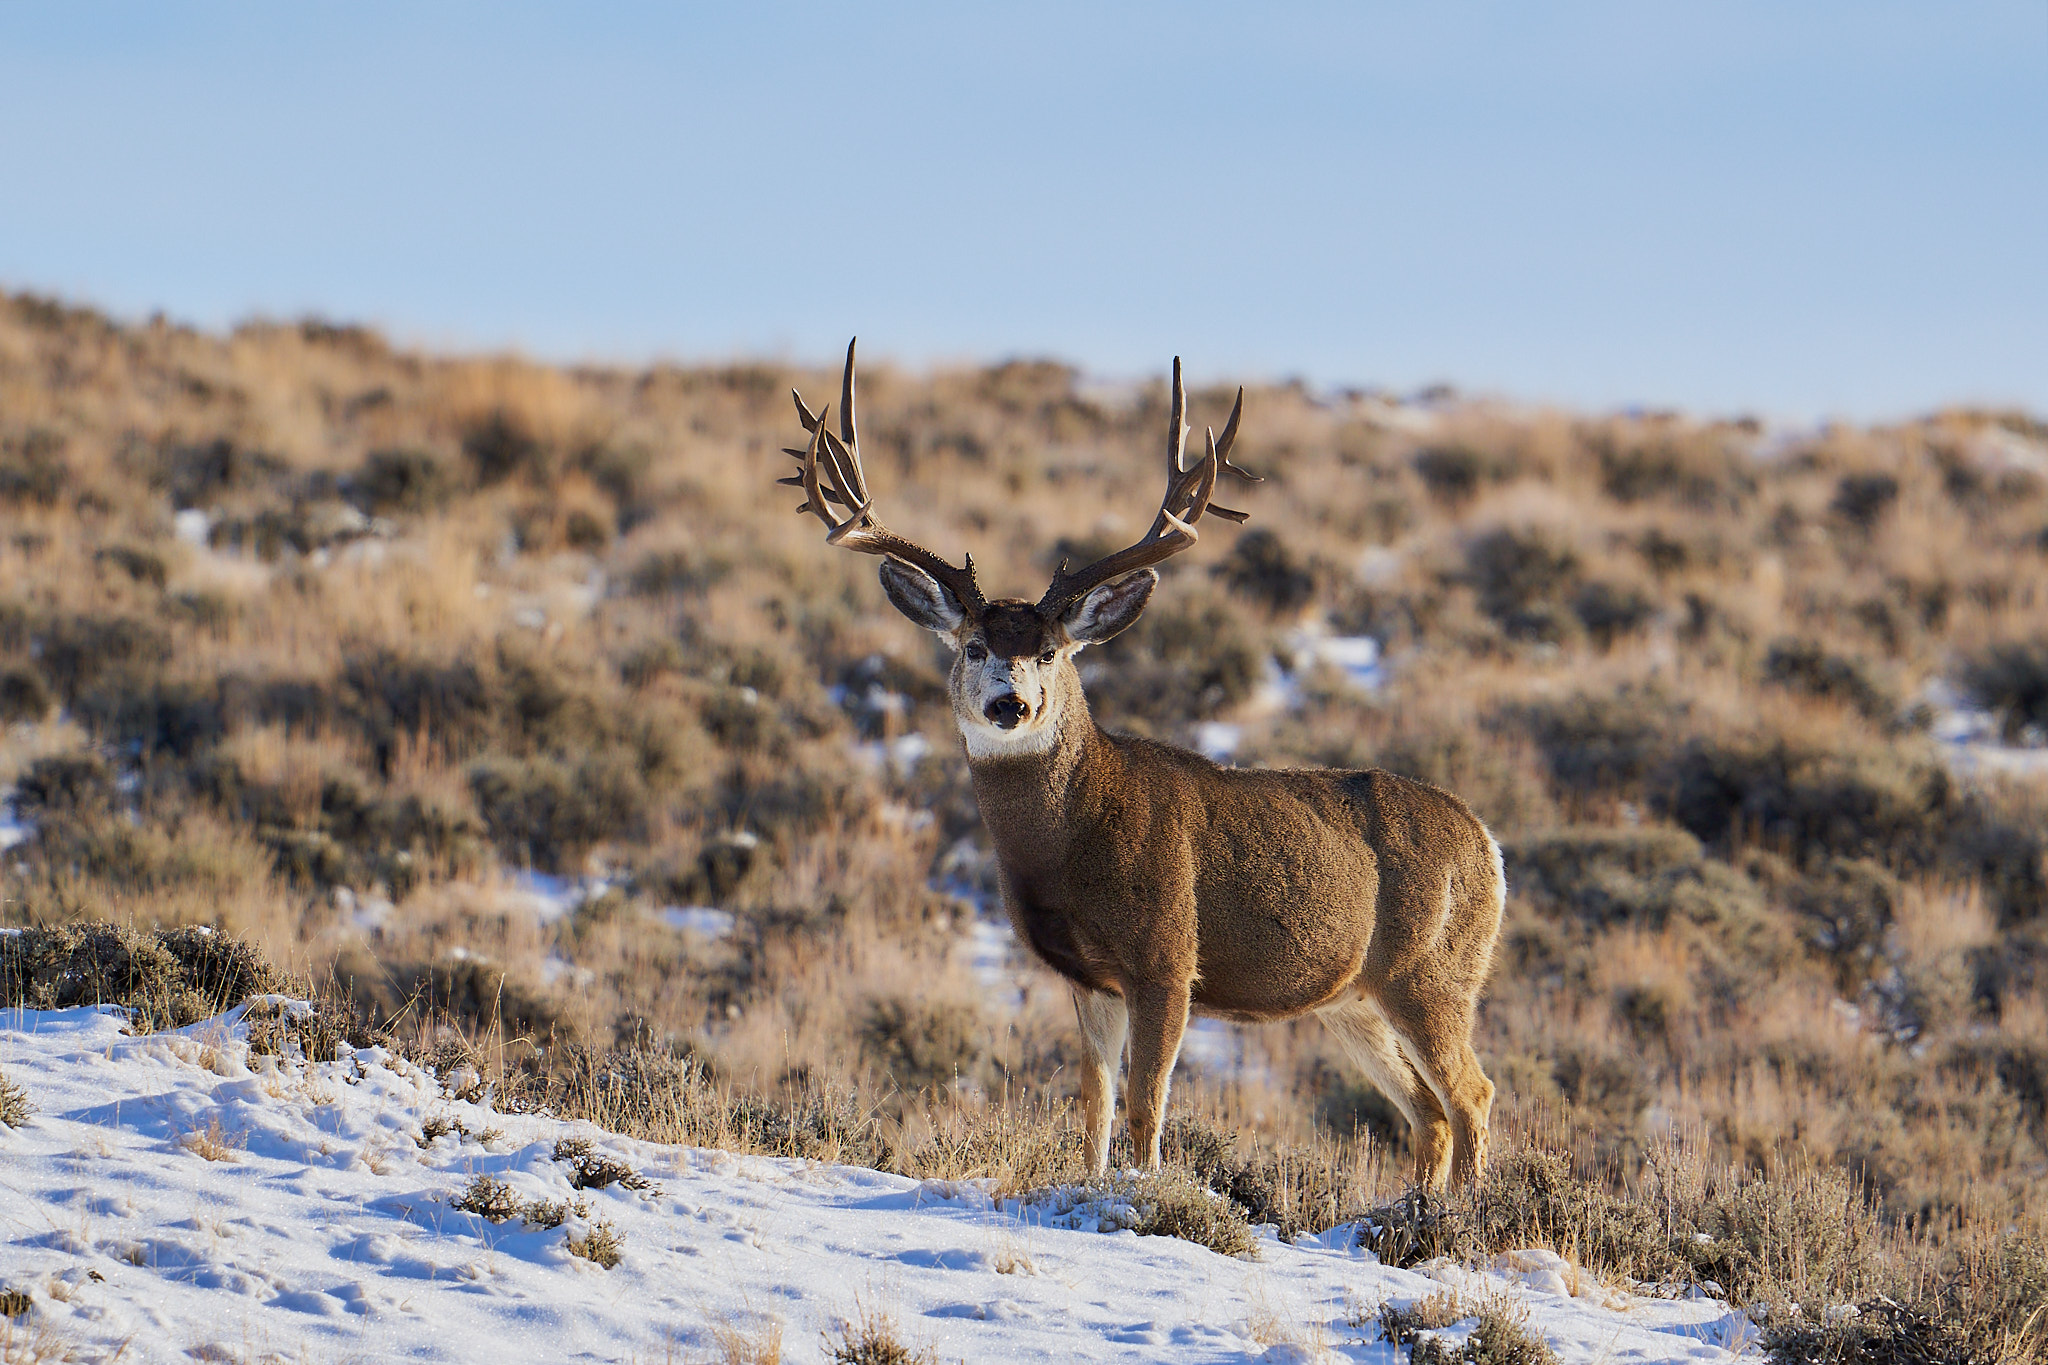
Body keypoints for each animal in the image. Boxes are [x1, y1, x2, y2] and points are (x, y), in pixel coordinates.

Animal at [782, 341, 1504, 1189]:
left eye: (1052, 652)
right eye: (975, 646)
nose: (1010, 705)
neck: (1071, 841)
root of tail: (1488, 842)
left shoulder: (1166, 957)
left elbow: (1144, 1106)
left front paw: (1145, 1192)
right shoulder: (1087, 977)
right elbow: (1092, 1106)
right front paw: (1092, 1184)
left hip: (1432, 970)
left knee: (1472, 1093)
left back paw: (1462, 1215)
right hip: (1351, 998)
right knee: (1427, 1112)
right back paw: (1415, 1210)